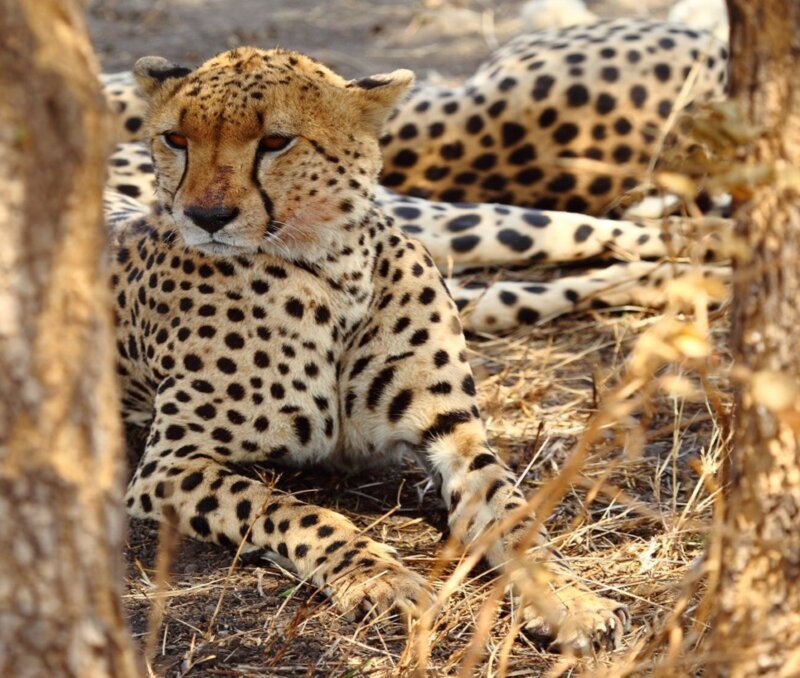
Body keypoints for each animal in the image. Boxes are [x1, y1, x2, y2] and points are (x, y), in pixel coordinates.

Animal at [102, 19, 731, 335]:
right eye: (176, 140)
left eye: (276, 142)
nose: (206, 218)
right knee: (533, 275)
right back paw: (695, 273)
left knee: (578, 235)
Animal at [113, 46, 633, 656]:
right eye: (175, 139)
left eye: (275, 141)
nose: (205, 218)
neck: (333, 269)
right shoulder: (168, 466)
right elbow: (291, 511)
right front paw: (378, 576)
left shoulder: (455, 433)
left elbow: (515, 516)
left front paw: (572, 599)